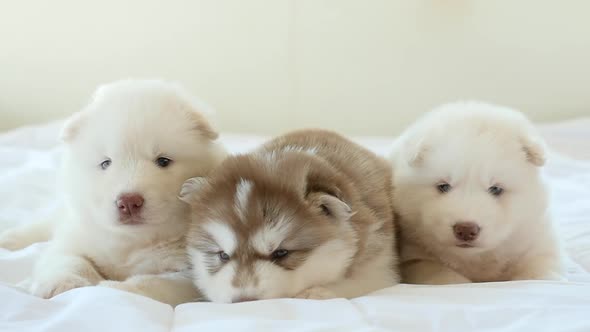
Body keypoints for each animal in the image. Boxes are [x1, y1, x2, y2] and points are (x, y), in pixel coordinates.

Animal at [0, 79, 227, 304]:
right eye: (106, 163)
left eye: (163, 161)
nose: (129, 202)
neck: (132, 242)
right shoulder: (76, 237)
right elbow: (68, 258)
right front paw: (65, 284)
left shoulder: (190, 273)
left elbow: (154, 283)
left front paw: (112, 289)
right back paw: (10, 239)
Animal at [182, 130, 402, 304]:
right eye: (223, 255)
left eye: (281, 253)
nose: (245, 301)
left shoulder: (381, 266)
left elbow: (359, 283)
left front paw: (318, 292)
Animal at [390, 102, 568, 284]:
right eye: (443, 186)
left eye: (495, 189)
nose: (466, 230)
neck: (475, 258)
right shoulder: (415, 258)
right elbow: (442, 275)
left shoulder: (539, 244)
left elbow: (540, 273)